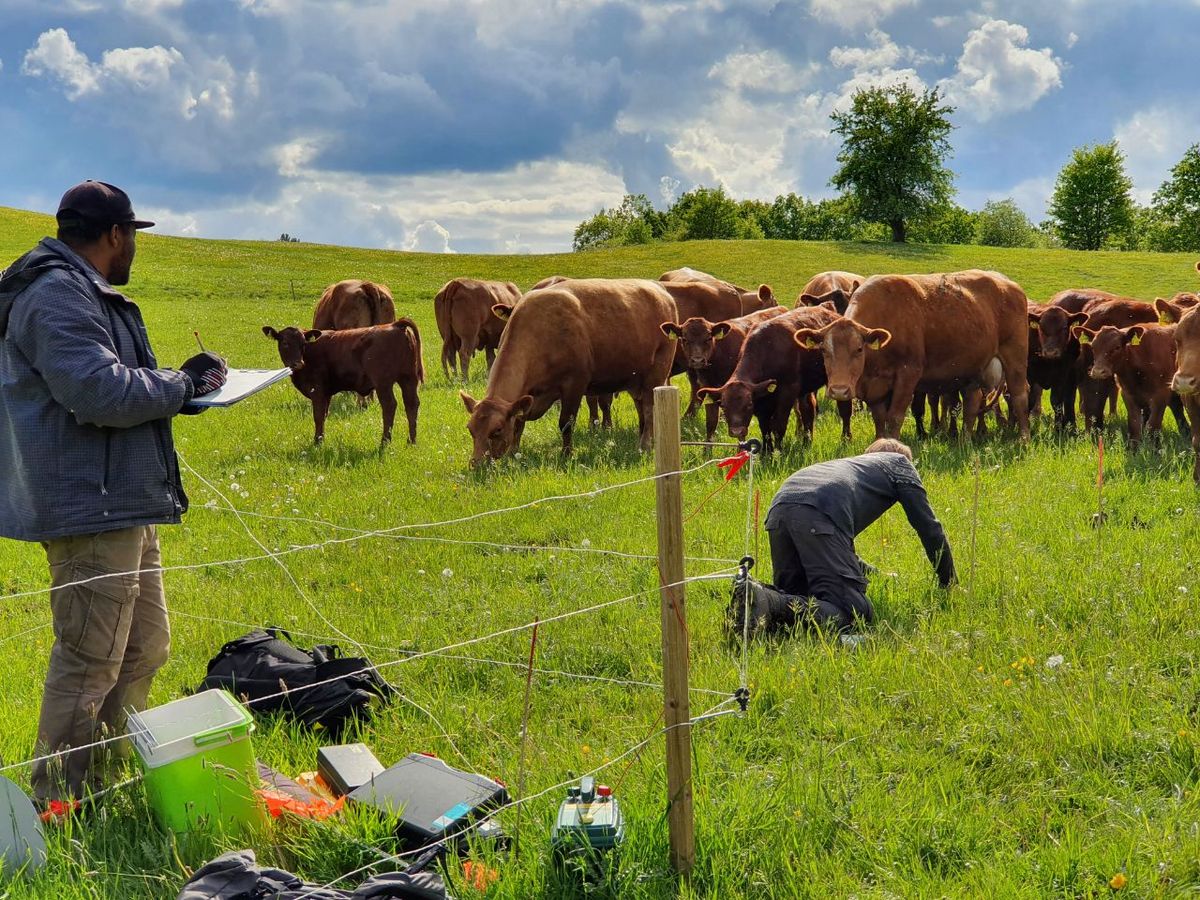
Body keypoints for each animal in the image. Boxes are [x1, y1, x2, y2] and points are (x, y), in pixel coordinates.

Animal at [265, 321, 424, 448]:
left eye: (303, 344)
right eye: (285, 343)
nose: (298, 363)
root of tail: (395, 324)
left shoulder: (317, 391)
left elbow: (318, 416)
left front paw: (317, 441)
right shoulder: (326, 394)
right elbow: (324, 415)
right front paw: (321, 439)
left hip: (383, 382)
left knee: (389, 405)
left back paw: (384, 442)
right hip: (408, 379)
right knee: (411, 405)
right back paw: (411, 441)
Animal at [460, 280, 676, 465]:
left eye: (496, 430)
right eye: (470, 429)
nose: (476, 464)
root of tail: (661, 291)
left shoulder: (574, 384)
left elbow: (566, 422)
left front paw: (567, 454)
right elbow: (519, 423)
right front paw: (514, 453)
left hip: (657, 373)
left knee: (648, 408)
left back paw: (645, 445)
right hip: (635, 380)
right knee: (642, 409)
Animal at [696, 307, 844, 453]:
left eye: (749, 404)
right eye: (723, 406)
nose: (737, 431)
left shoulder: (788, 392)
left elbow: (778, 425)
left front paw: (778, 452)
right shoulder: (762, 400)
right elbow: (765, 427)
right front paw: (767, 452)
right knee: (808, 409)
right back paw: (806, 443)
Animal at [792, 270, 1027, 441]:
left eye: (859, 349)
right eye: (824, 350)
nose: (839, 390)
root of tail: (1008, 284)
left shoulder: (908, 375)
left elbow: (896, 417)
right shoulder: (875, 388)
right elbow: (880, 420)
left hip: (1015, 359)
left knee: (1019, 396)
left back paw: (1023, 440)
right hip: (973, 370)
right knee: (971, 404)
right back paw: (964, 442)